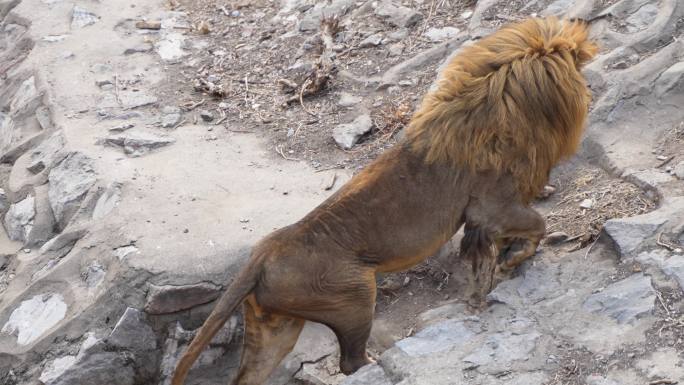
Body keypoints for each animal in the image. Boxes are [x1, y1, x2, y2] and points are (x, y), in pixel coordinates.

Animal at [172, 16, 600, 382]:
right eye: (576, 64)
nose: (589, 84)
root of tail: (261, 256)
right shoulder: (488, 209)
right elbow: (536, 224)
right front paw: (512, 261)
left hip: (276, 327)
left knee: (250, 375)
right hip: (355, 295)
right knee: (350, 361)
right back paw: (380, 361)